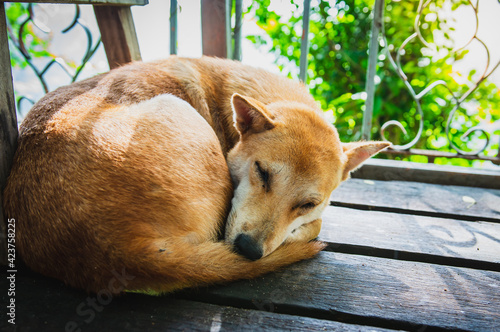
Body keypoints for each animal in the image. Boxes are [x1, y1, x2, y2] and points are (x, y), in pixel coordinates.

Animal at [1, 56, 388, 294]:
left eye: (307, 203)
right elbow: (317, 226)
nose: (248, 250)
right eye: (261, 172)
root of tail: (118, 248)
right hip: (175, 106)